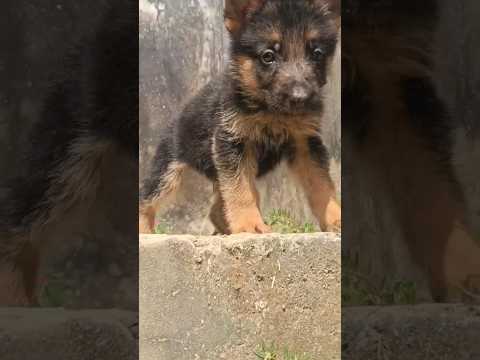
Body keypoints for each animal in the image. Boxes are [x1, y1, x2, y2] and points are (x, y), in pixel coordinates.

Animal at [139, 0, 342, 235]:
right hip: (168, 172)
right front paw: (248, 225)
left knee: (217, 209)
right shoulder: (233, 143)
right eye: (268, 56)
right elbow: (241, 190)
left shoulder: (305, 144)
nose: (301, 98)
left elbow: (322, 185)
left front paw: (335, 219)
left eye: (317, 53)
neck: (271, 112)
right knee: (146, 199)